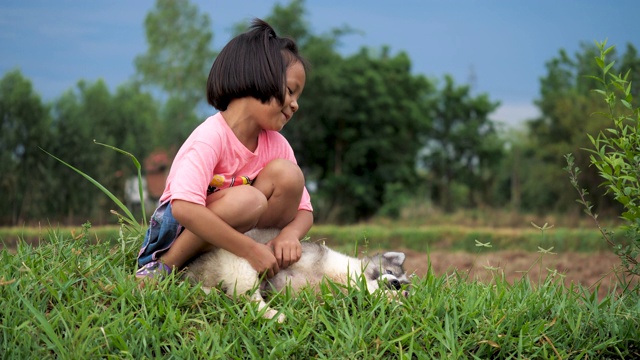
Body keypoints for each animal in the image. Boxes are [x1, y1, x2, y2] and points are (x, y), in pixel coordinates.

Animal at [182, 229, 410, 322]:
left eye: (403, 283)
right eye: (389, 271)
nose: (397, 284)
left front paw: (397, 298)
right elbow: (369, 289)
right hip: (242, 263)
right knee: (247, 297)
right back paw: (275, 315)